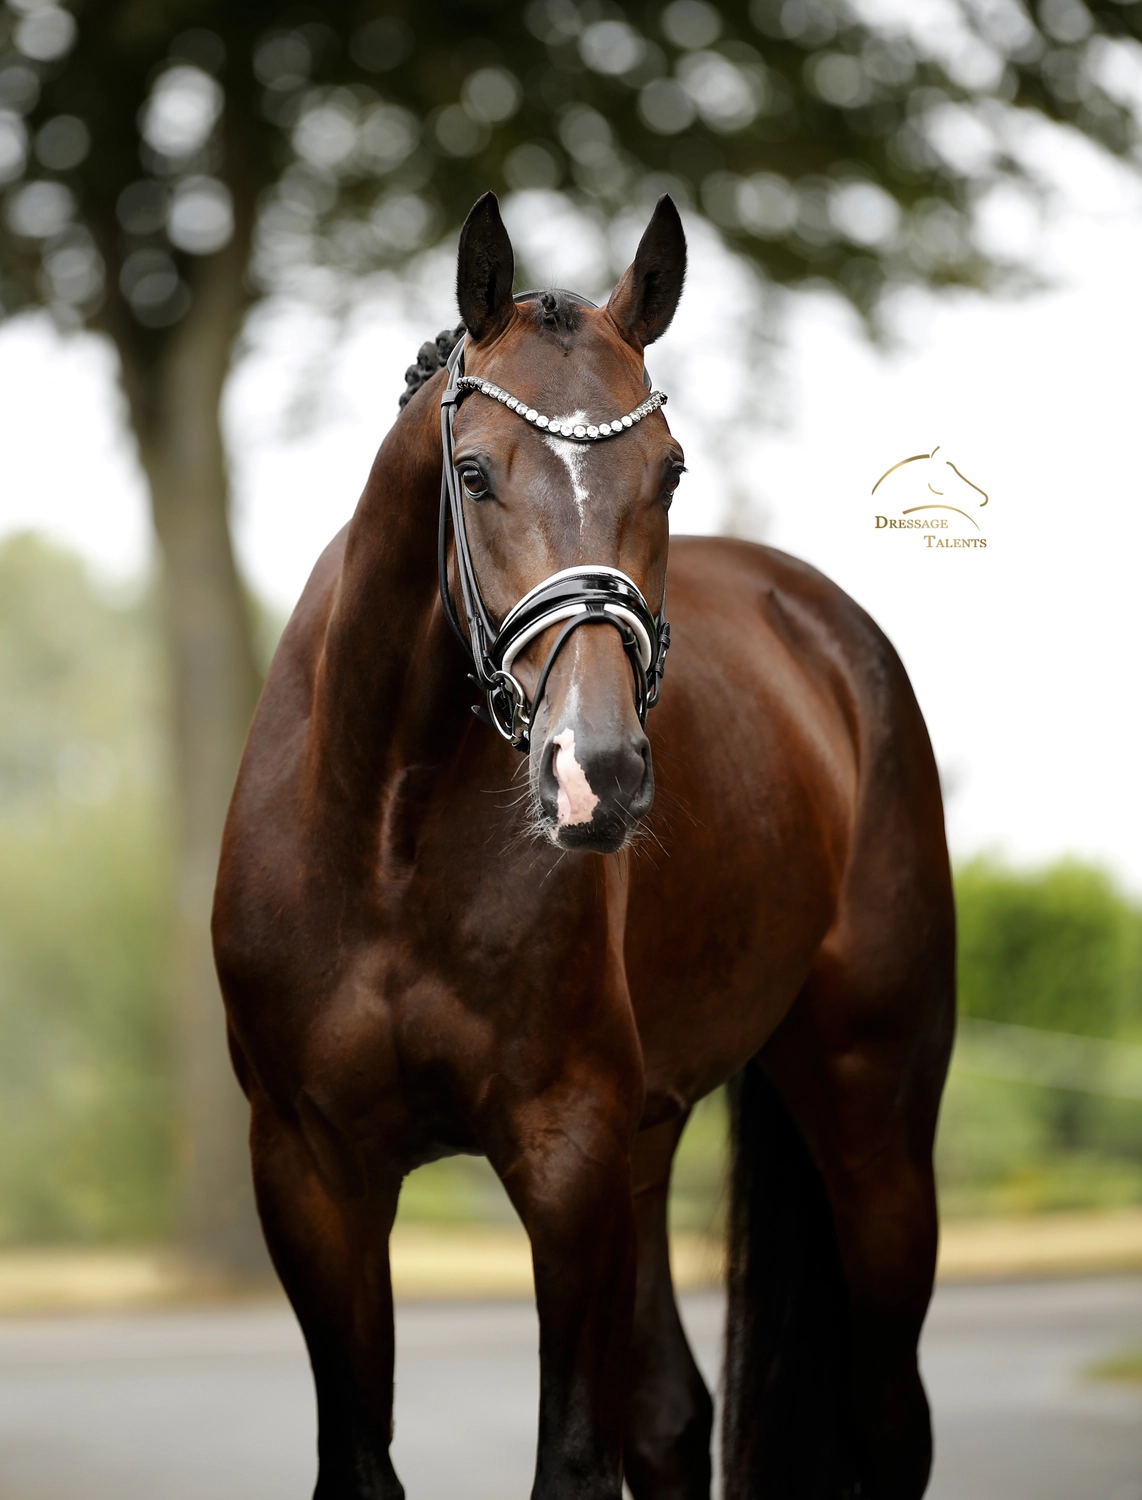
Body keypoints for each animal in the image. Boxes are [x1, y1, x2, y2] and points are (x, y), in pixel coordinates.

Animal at [213, 191, 955, 1500]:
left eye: (668, 469)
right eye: (471, 472)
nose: (593, 772)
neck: (384, 839)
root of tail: (829, 634)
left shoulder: (566, 1161)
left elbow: (569, 1456)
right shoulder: (309, 1172)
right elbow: (360, 1457)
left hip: (872, 1121)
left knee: (884, 1422)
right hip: (650, 1141)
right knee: (670, 1416)